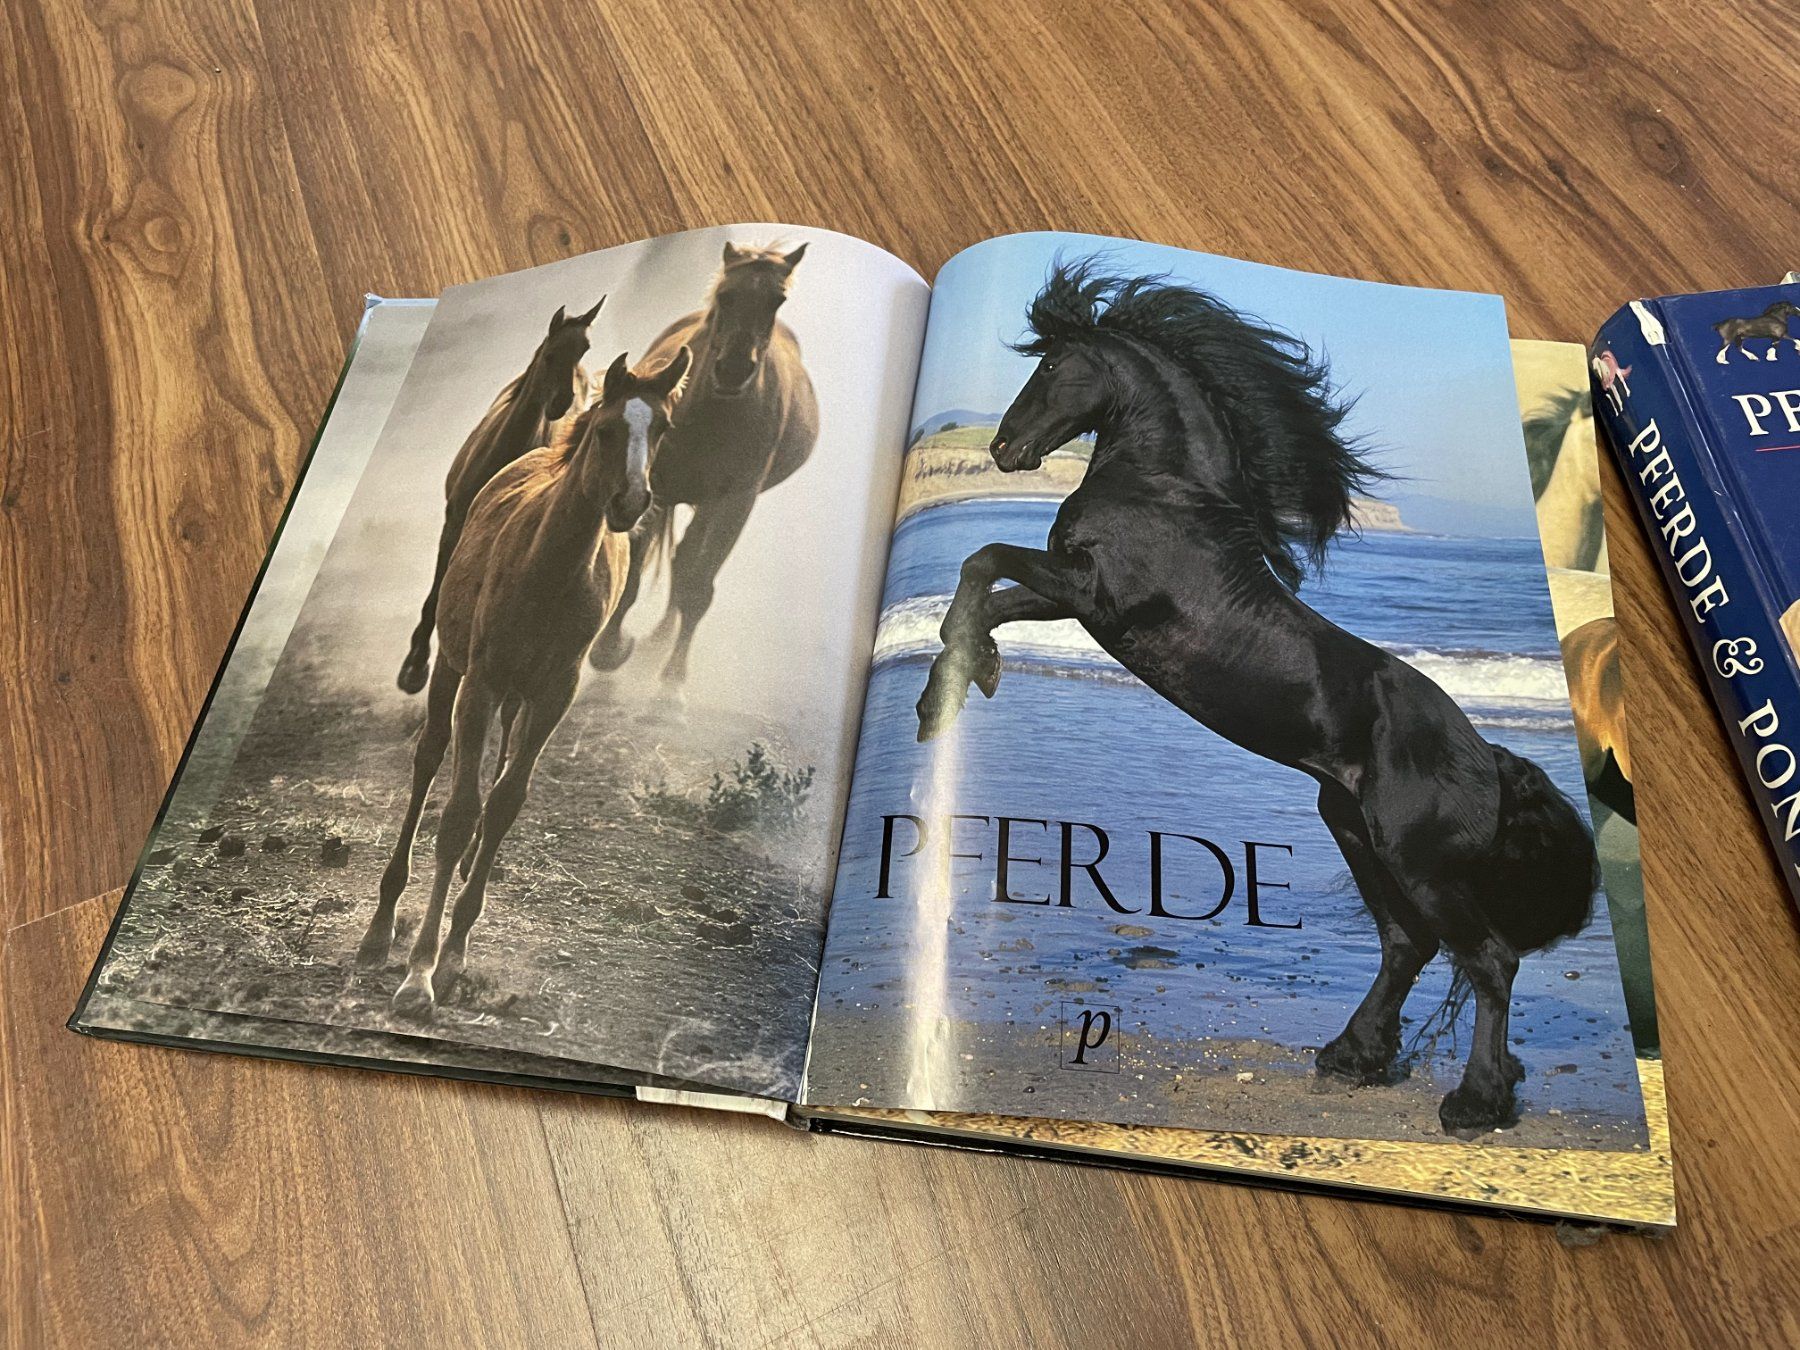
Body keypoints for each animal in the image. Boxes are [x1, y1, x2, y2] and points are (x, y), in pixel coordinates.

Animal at [359, 345, 691, 1018]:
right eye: (608, 429)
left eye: (663, 430)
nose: (631, 502)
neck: (550, 566)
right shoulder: (480, 682)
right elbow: (458, 814)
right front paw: (419, 973)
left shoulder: (554, 692)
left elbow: (507, 802)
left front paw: (455, 954)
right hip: (454, 669)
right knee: (428, 758)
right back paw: (380, 927)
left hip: (520, 694)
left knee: (501, 763)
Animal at [396, 298, 604, 695]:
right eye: (551, 354)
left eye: (584, 349)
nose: (561, 402)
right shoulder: (454, 525)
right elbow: (438, 590)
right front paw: (414, 667)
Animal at [588, 242, 818, 684]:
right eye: (726, 295)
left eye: (777, 300)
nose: (733, 370)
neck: (713, 416)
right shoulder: (655, 489)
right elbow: (635, 577)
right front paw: (609, 650)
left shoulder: (735, 502)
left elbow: (698, 584)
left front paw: (673, 682)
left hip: (709, 503)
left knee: (685, 564)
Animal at [916, 261, 1598, 1134]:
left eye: (1055, 365)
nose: (1003, 449)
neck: (1165, 490)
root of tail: (1491, 760)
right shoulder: (1078, 599)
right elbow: (986, 587)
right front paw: (964, 680)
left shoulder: (1094, 594)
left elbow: (983, 562)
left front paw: (956, 687)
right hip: (1355, 834)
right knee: (1406, 945)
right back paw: (1352, 1059)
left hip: (1415, 861)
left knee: (1488, 959)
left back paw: (1473, 1102)